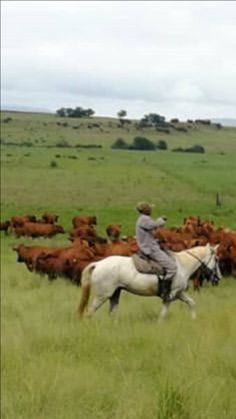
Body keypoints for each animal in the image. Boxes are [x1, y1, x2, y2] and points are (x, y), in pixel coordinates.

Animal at [78, 244, 220, 320]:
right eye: (217, 259)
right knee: (89, 313)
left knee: (112, 313)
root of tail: (98, 264)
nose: (218, 277)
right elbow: (163, 314)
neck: (182, 264)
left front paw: (194, 319)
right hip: (102, 296)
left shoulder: (179, 293)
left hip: (115, 294)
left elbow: (191, 303)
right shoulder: (170, 296)